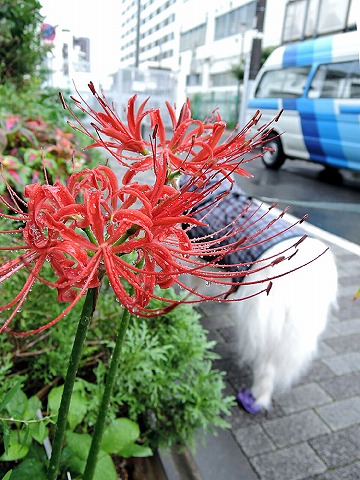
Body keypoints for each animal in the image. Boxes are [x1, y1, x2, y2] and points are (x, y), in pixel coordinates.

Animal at [183, 174, 338, 414]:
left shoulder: (200, 255)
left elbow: (195, 286)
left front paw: (189, 305)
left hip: (263, 322)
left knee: (267, 367)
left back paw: (257, 396)